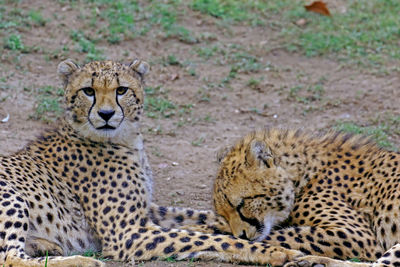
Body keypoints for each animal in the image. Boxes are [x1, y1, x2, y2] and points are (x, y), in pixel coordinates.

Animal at [0, 59, 304, 266]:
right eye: (88, 91)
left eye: (122, 90)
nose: (106, 114)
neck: (124, 140)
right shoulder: (126, 234)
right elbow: (208, 237)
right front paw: (277, 251)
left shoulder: (146, 213)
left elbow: (195, 219)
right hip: (12, 195)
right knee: (11, 258)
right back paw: (83, 261)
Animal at [208, 129, 400, 266]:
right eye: (224, 213)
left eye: (241, 204)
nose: (242, 235)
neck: (303, 174)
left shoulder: (355, 235)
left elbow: (285, 235)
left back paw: (313, 261)